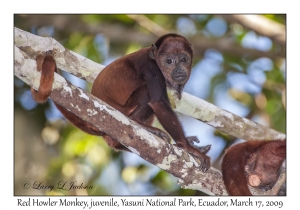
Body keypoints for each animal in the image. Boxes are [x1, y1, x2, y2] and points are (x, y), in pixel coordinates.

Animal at [30, 33, 211, 172]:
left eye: (184, 59)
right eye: (169, 61)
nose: (179, 69)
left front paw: (190, 144)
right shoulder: (152, 68)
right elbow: (158, 103)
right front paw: (188, 147)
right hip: (124, 110)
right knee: (146, 93)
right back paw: (141, 124)